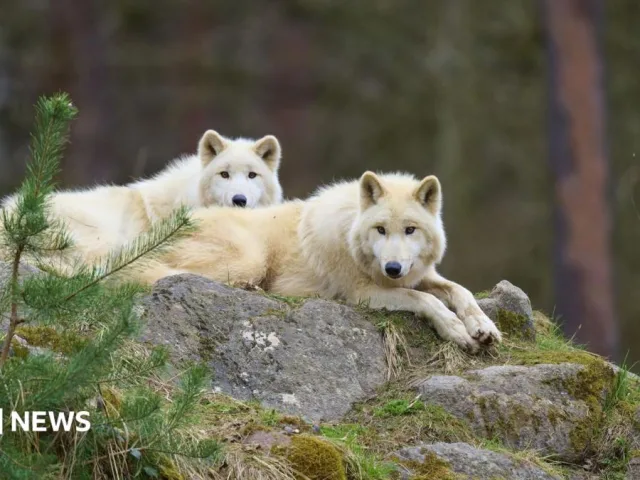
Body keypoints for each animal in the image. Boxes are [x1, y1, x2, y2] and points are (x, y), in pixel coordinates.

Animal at [133, 171, 502, 352]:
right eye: (380, 229)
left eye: (410, 230)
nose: (393, 268)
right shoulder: (362, 293)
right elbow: (425, 300)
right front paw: (456, 330)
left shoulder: (416, 275)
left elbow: (460, 291)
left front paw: (483, 326)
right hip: (249, 259)